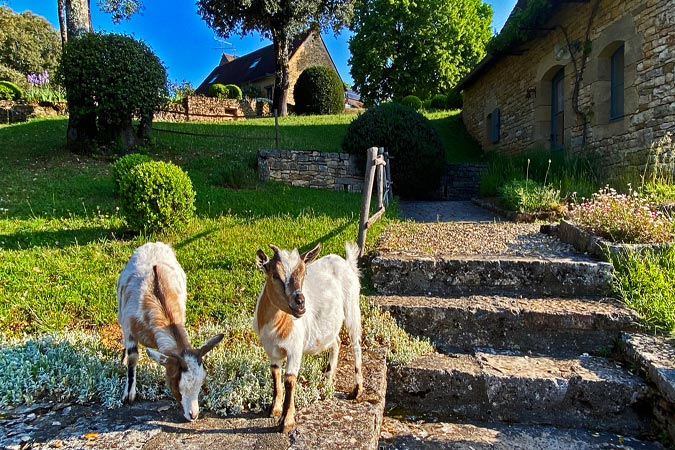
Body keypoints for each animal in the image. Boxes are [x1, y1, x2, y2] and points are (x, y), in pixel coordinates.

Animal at [115, 243, 222, 422]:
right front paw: (129, 394)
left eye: (201, 383)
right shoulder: (129, 329)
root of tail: (153, 243)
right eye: (177, 385)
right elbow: (132, 358)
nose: (193, 415)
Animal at [254, 243, 364, 432]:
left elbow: (289, 380)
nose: (300, 303)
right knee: (336, 342)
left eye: (304, 273)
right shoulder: (271, 350)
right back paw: (327, 381)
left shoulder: (294, 348)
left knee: (356, 342)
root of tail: (346, 262)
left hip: (352, 305)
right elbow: (275, 375)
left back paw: (356, 390)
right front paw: (274, 409)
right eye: (275, 275)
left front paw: (287, 422)